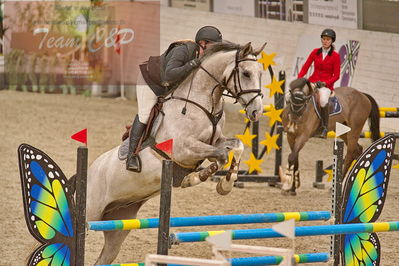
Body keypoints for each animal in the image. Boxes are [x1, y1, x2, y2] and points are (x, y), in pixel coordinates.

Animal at [86, 42, 268, 264]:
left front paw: (225, 183)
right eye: (246, 73)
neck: (204, 102)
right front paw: (198, 178)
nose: (257, 112)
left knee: (105, 256)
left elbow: (236, 146)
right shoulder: (183, 148)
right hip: (91, 214)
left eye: (261, 73)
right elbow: (220, 156)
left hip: (119, 224)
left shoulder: (215, 141)